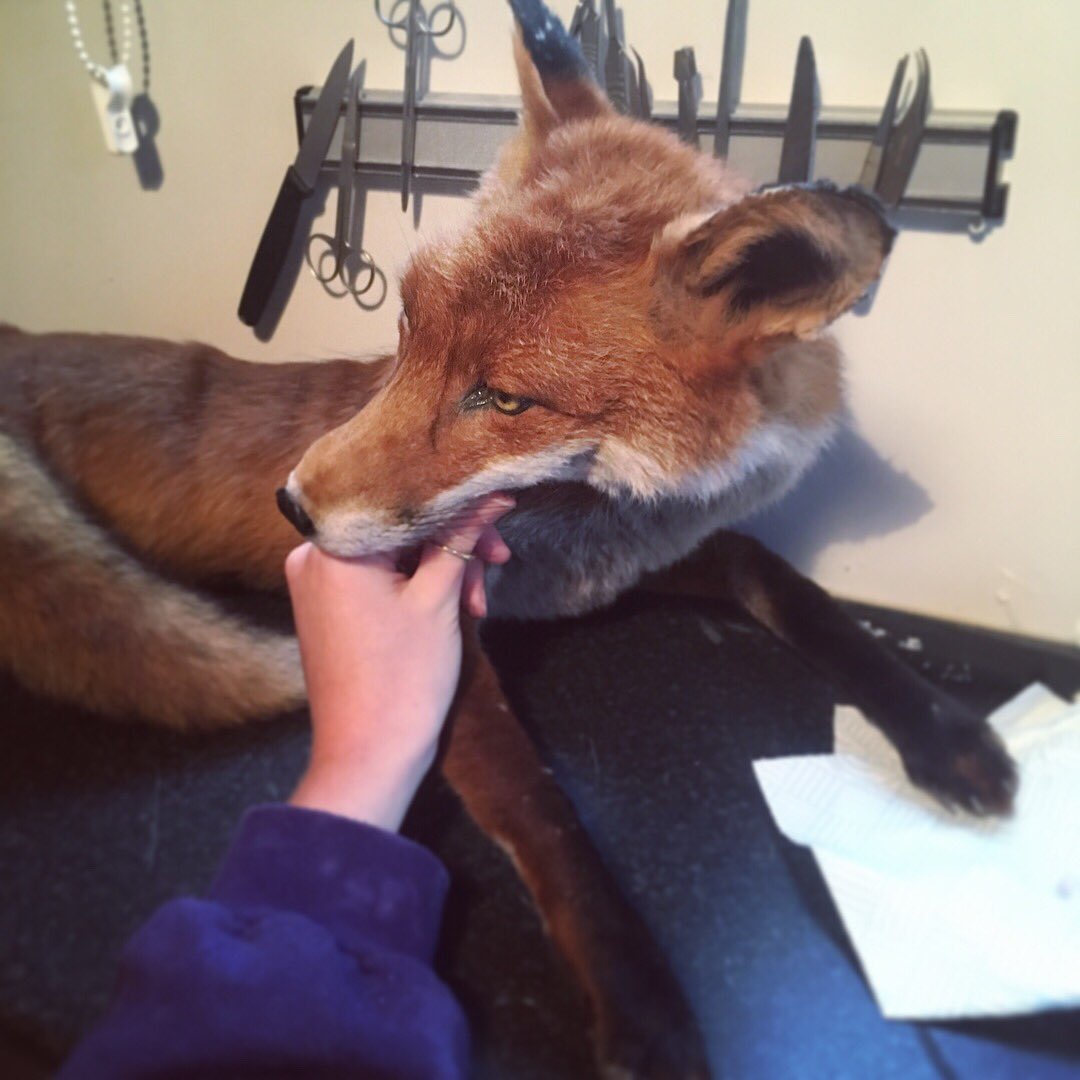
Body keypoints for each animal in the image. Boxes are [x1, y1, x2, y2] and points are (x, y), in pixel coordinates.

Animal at [0, 1, 1017, 1076]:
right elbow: (547, 817)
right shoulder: (453, 632)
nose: (293, 506)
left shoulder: (641, 565)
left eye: (505, 399)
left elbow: (788, 585)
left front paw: (945, 732)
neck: (589, 530)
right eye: (406, 332)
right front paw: (642, 1001)